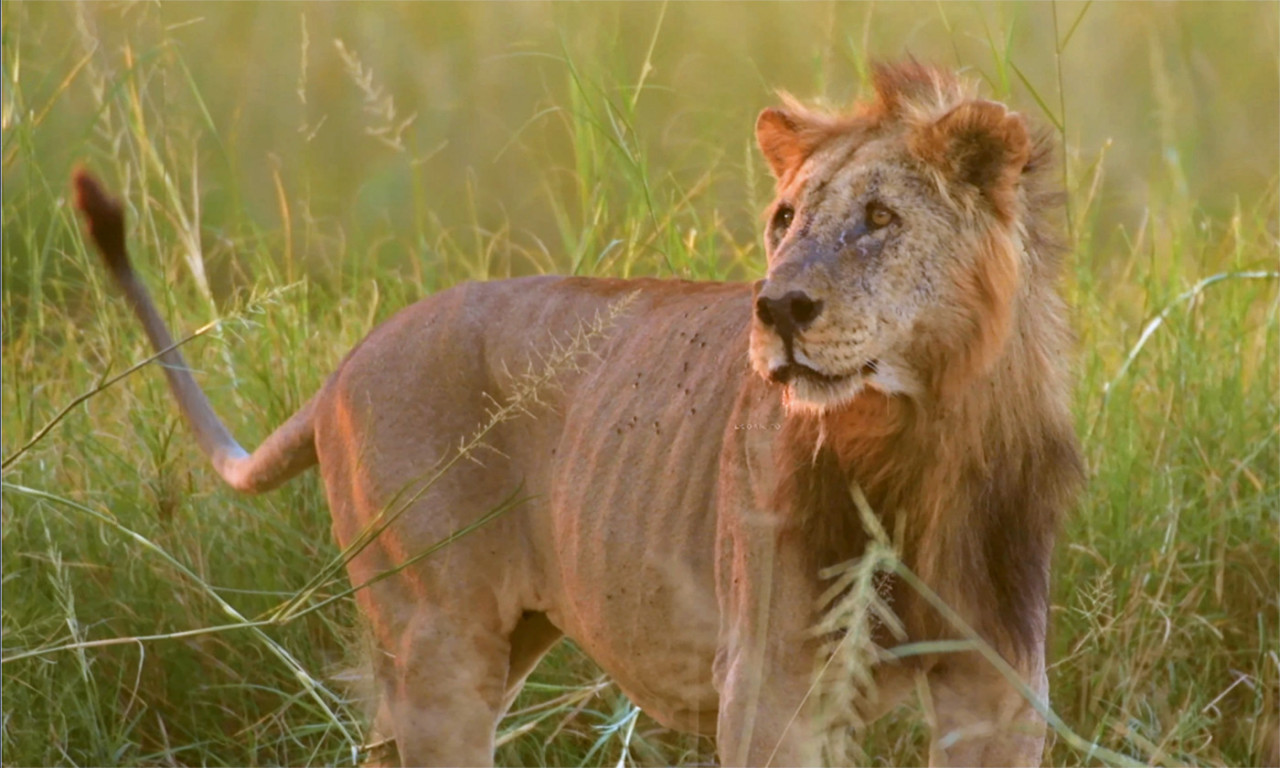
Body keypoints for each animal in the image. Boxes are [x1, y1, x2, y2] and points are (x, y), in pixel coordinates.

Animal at [72, 63, 1080, 762]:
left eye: (878, 219)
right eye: (785, 219)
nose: (778, 309)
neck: (921, 435)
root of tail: (346, 364)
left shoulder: (998, 686)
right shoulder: (772, 687)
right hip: (439, 641)